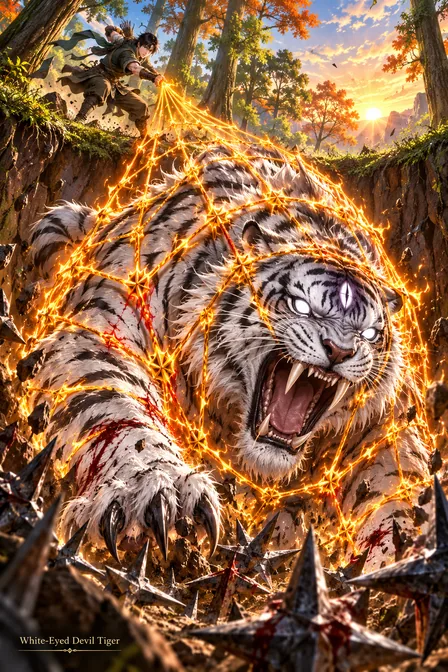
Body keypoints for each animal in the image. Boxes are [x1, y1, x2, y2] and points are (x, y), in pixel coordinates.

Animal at [27, 144, 430, 570]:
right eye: (301, 305)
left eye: (369, 333)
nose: (340, 350)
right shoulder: (105, 330)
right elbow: (118, 411)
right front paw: (159, 494)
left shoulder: (386, 429)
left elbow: (399, 489)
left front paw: (407, 550)